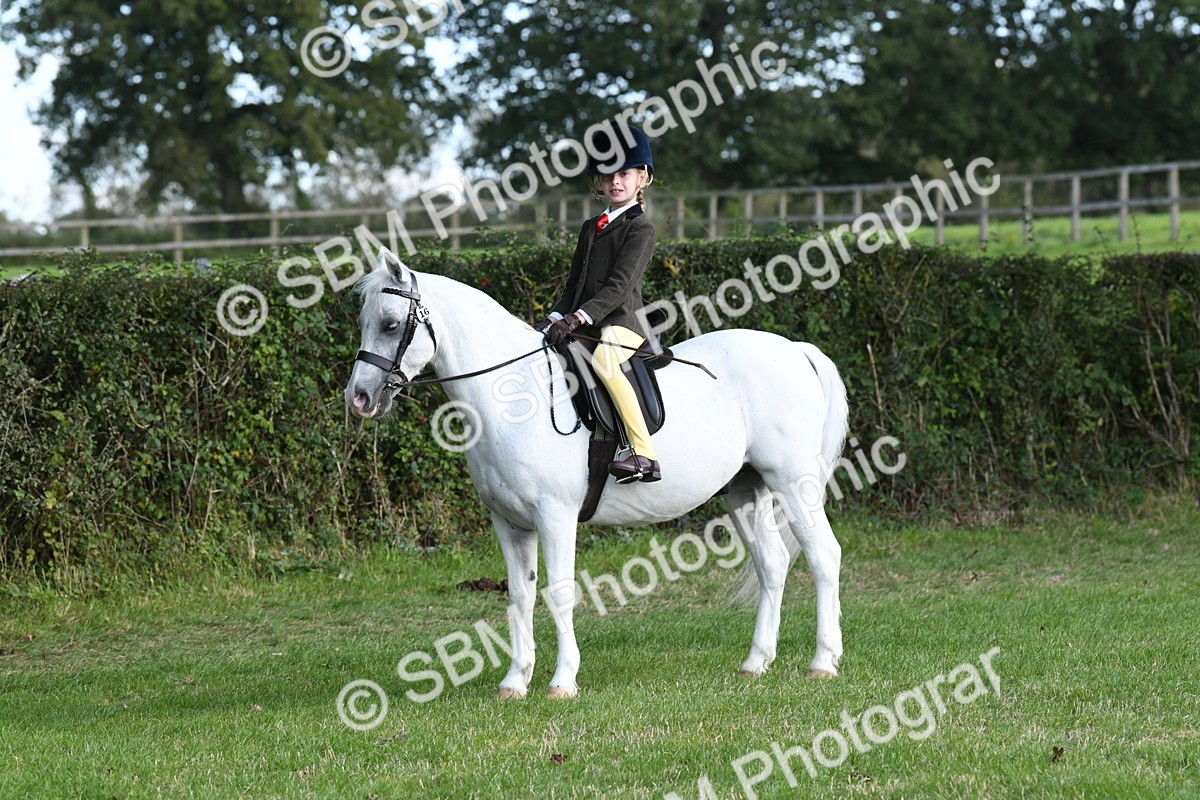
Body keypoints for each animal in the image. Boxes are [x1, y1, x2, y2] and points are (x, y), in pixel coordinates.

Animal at [344, 248, 849, 699]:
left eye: (391, 324)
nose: (359, 398)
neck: (513, 396)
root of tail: (794, 350)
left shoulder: (555, 516)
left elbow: (559, 592)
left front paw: (562, 682)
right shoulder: (509, 523)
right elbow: (520, 596)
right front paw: (514, 682)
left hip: (792, 482)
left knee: (823, 556)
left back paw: (823, 662)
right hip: (746, 488)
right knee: (772, 564)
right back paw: (755, 663)